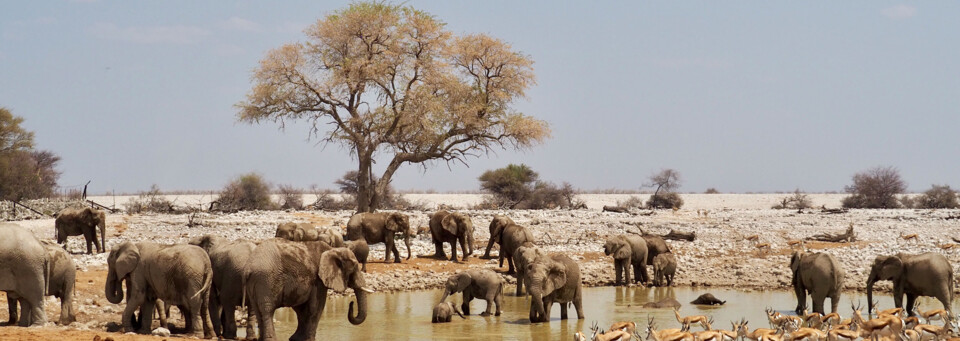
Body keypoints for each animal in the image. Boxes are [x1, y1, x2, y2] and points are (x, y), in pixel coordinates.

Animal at [244, 238, 372, 338]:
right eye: (354, 267)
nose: (351, 303)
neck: (332, 249)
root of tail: (249, 268)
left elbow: (301, 309)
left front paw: (296, 338)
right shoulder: (317, 280)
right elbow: (316, 307)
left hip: (255, 284)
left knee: (259, 311)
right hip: (266, 280)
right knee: (268, 311)